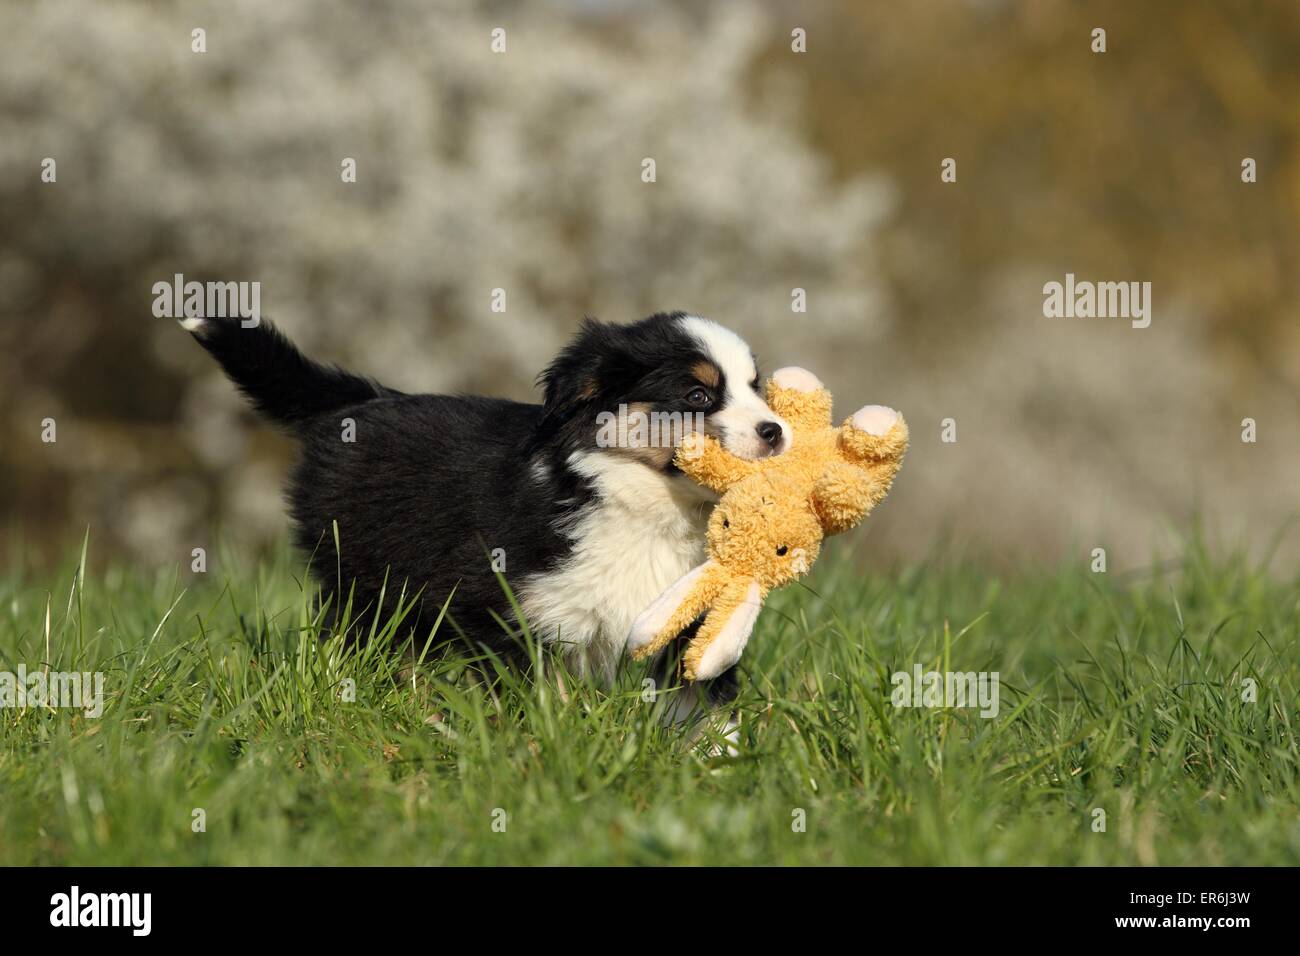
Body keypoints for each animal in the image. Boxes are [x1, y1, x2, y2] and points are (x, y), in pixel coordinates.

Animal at [183, 314, 785, 717]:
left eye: (756, 388)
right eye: (697, 394)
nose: (776, 431)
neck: (646, 506)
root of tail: (366, 399)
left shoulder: (691, 612)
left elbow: (702, 699)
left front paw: (714, 762)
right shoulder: (506, 607)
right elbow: (537, 693)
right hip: (361, 578)